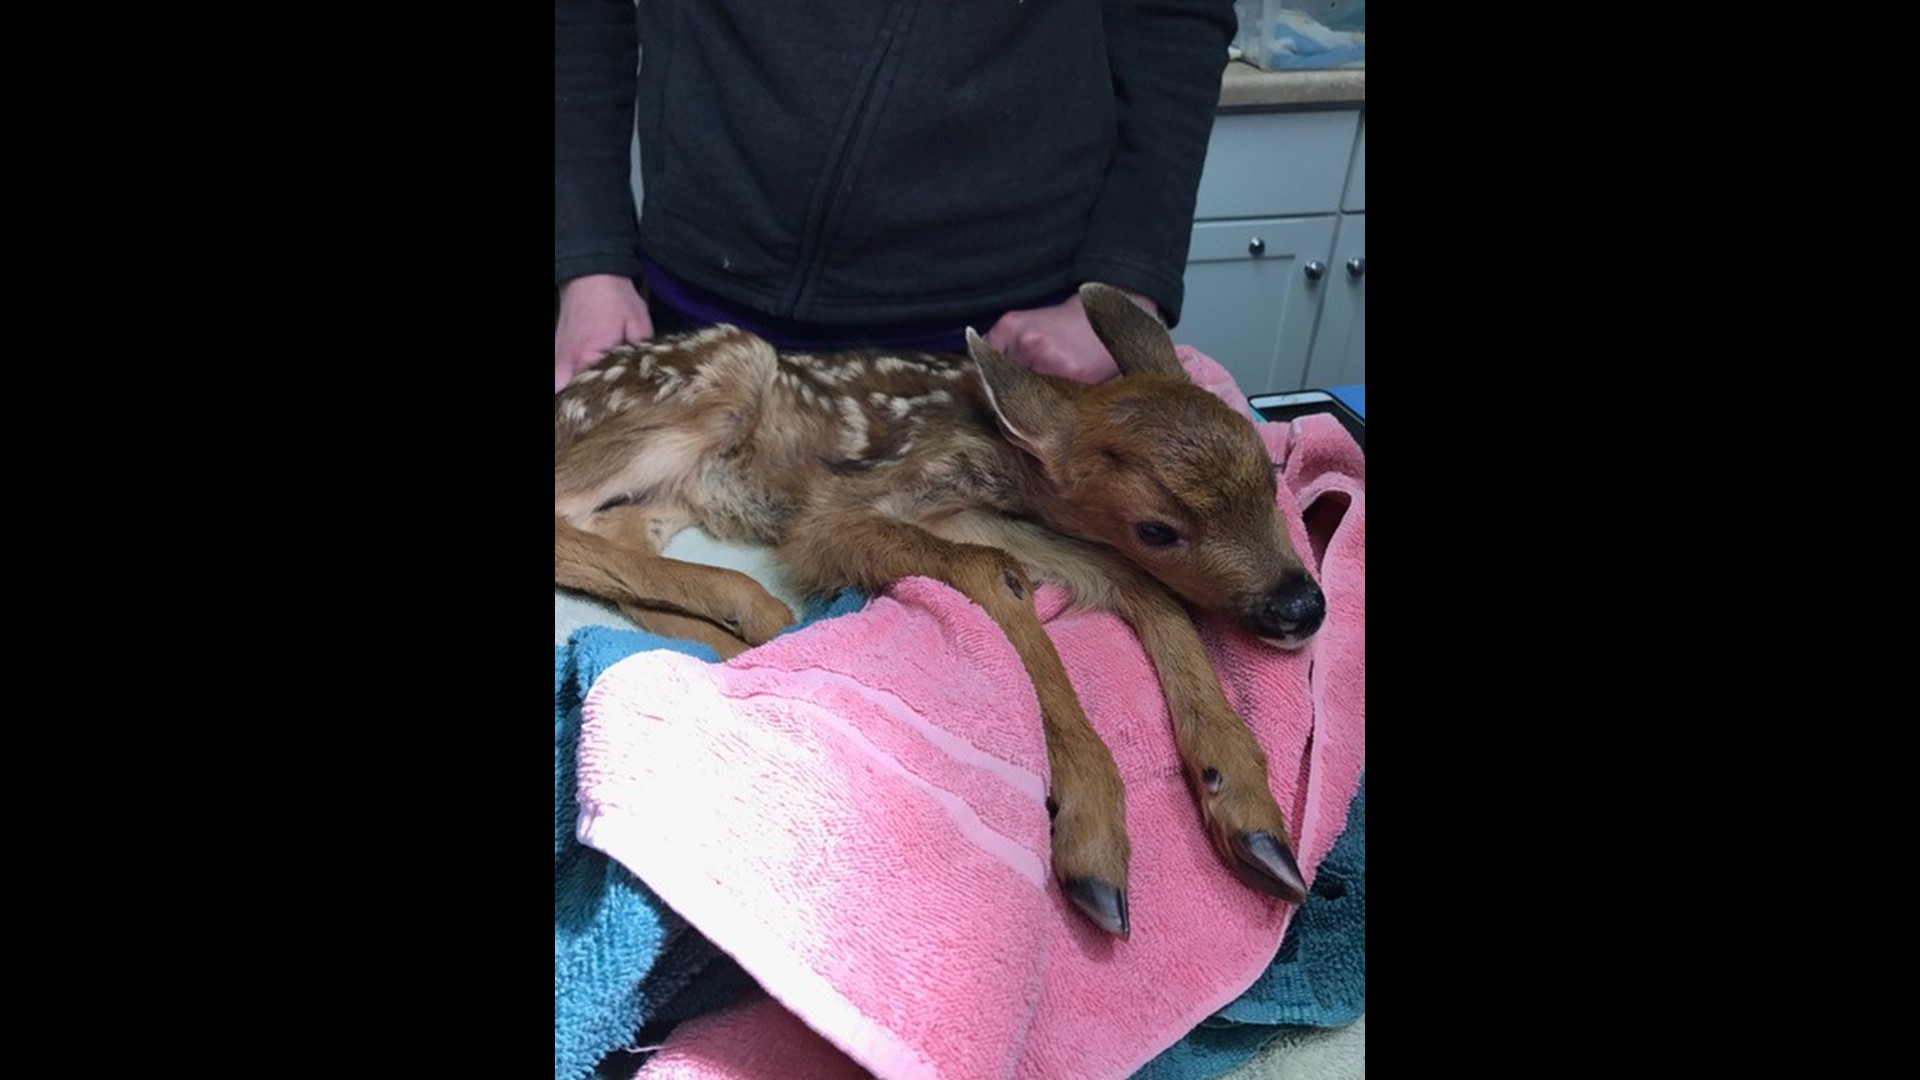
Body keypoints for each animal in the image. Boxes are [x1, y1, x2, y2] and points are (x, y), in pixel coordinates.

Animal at [555, 284, 1326, 939]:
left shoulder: (983, 513)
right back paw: (755, 607)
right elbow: (995, 573)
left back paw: (737, 636)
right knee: (571, 517)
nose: (1303, 604)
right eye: (1158, 529)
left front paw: (1252, 817)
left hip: (679, 487)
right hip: (717, 378)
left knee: (617, 532)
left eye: (1271, 477)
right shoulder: (841, 511)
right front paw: (1090, 835)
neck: (1003, 459)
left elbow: (1140, 588)